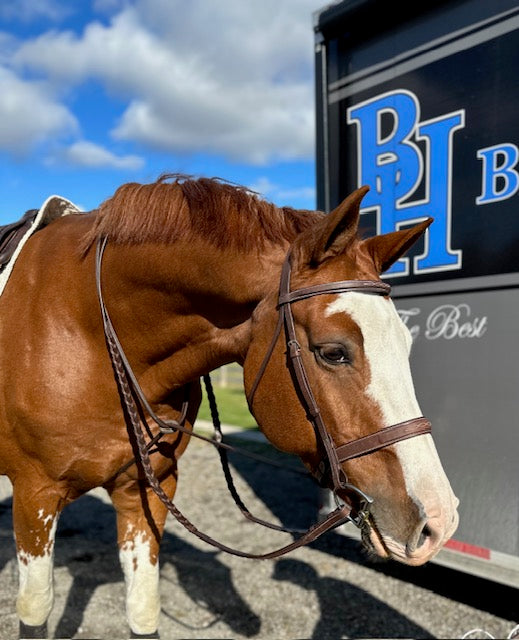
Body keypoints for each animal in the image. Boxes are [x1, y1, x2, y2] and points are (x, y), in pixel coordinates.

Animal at [0, 172, 460, 636]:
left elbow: (143, 609)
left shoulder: (145, 491)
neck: (84, 330)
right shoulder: (36, 496)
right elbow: (36, 609)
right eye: (333, 352)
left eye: (405, 343)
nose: (438, 520)